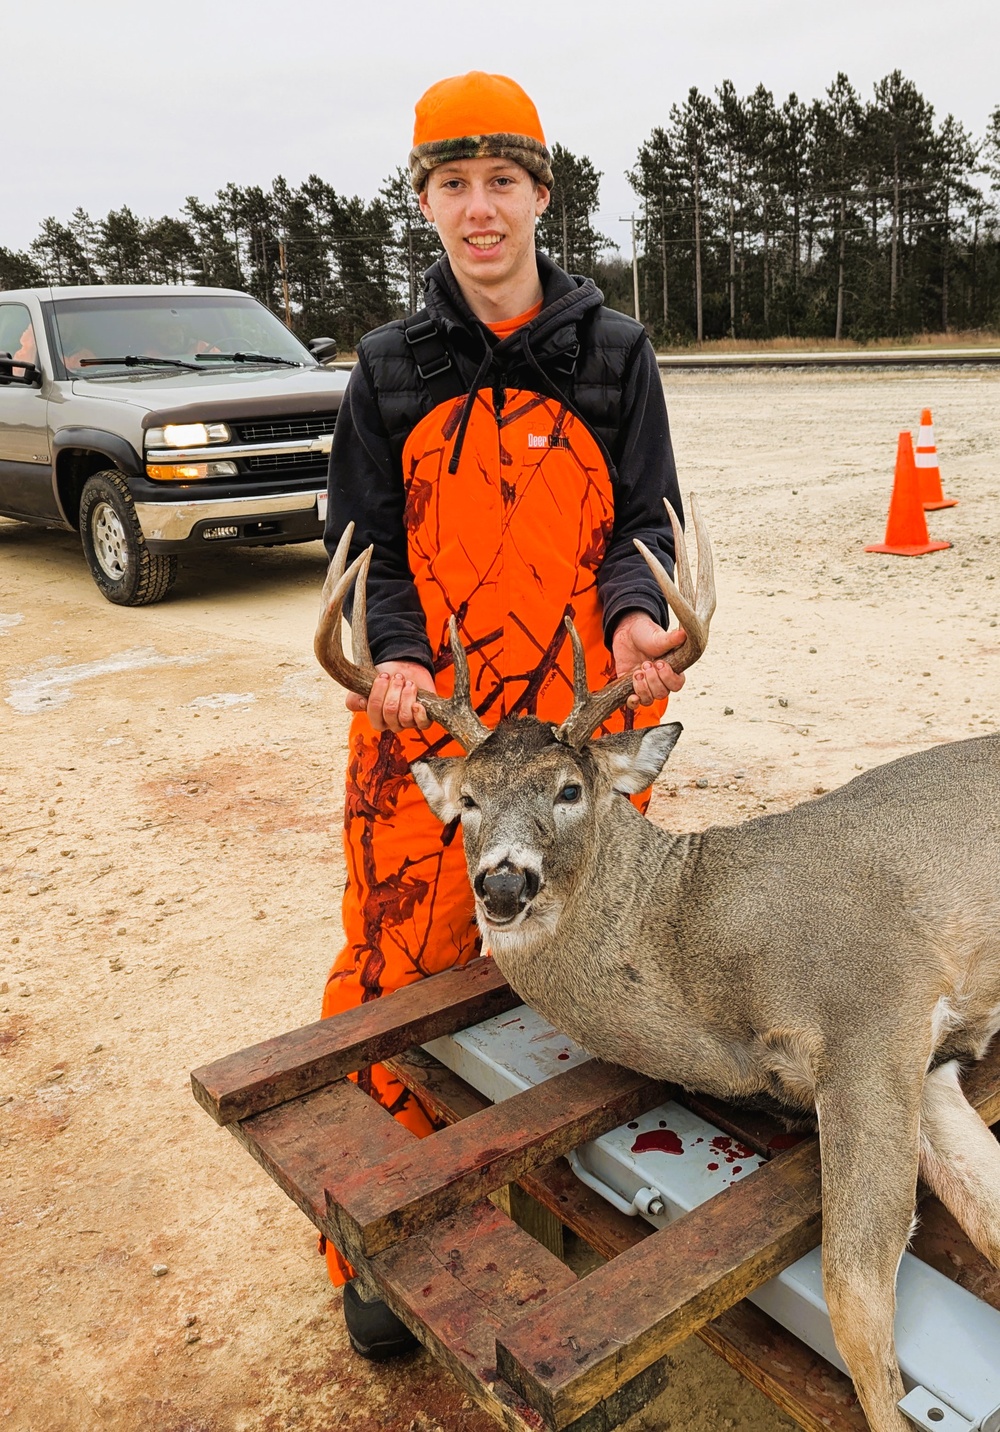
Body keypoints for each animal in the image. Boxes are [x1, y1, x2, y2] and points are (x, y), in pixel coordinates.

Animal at [318, 512, 997, 1432]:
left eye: (570, 789)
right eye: (466, 803)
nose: (502, 884)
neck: (704, 939)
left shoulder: (873, 1008)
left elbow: (854, 1294)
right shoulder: (931, 1061)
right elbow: (984, 1224)